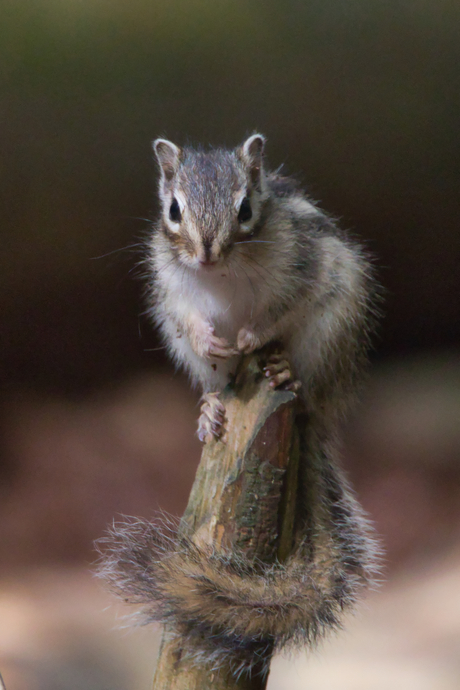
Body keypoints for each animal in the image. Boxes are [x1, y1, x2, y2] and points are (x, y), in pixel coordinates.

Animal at [98, 133, 380, 672]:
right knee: (214, 381)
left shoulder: (307, 266)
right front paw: (212, 340)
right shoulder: (172, 295)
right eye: (173, 210)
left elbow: (284, 308)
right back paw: (210, 407)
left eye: (245, 209)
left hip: (331, 330)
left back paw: (287, 373)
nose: (207, 253)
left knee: (307, 381)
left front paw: (251, 333)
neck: (221, 276)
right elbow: (190, 321)